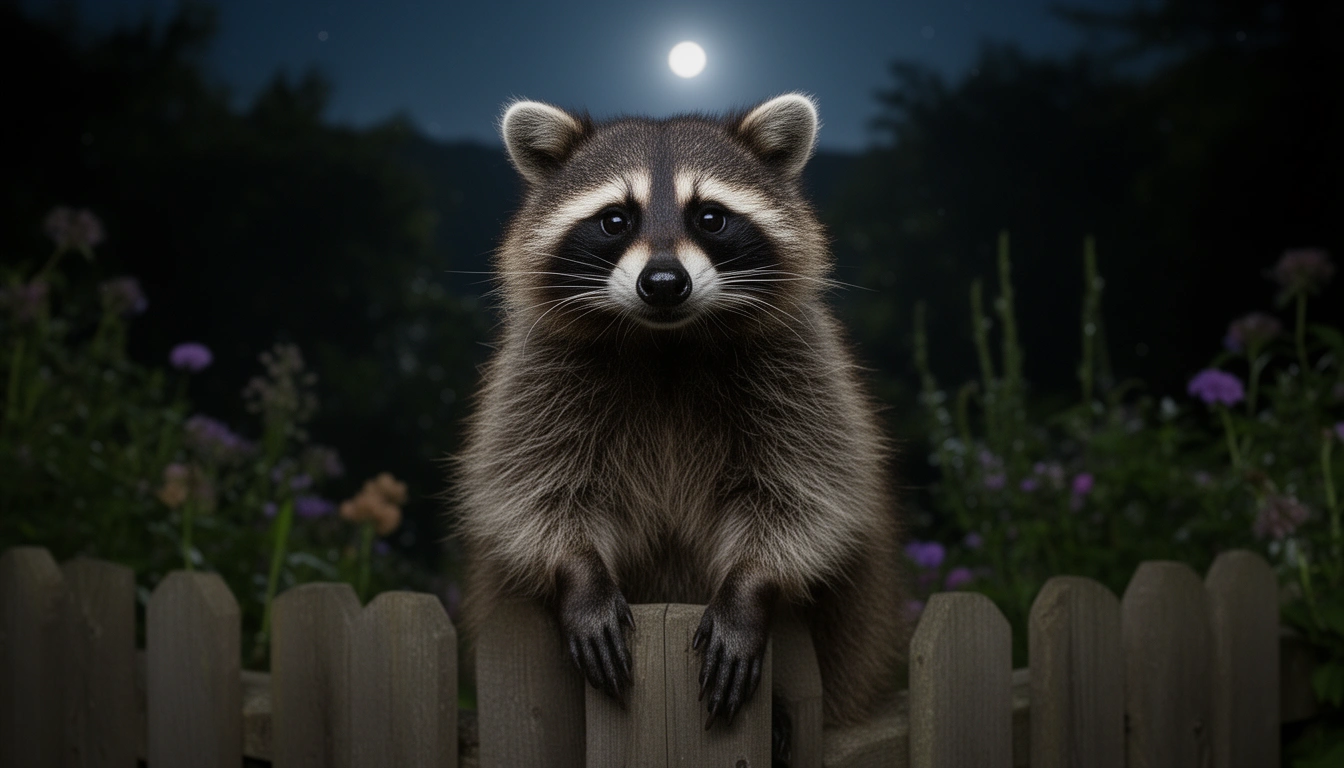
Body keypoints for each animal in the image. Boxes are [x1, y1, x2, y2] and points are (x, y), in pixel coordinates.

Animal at [454, 93, 906, 728]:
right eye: (615, 219)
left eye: (710, 217)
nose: (664, 281)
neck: (664, 342)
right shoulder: (535, 376)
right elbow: (530, 489)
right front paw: (580, 573)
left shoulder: (804, 371)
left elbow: (809, 492)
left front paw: (750, 586)